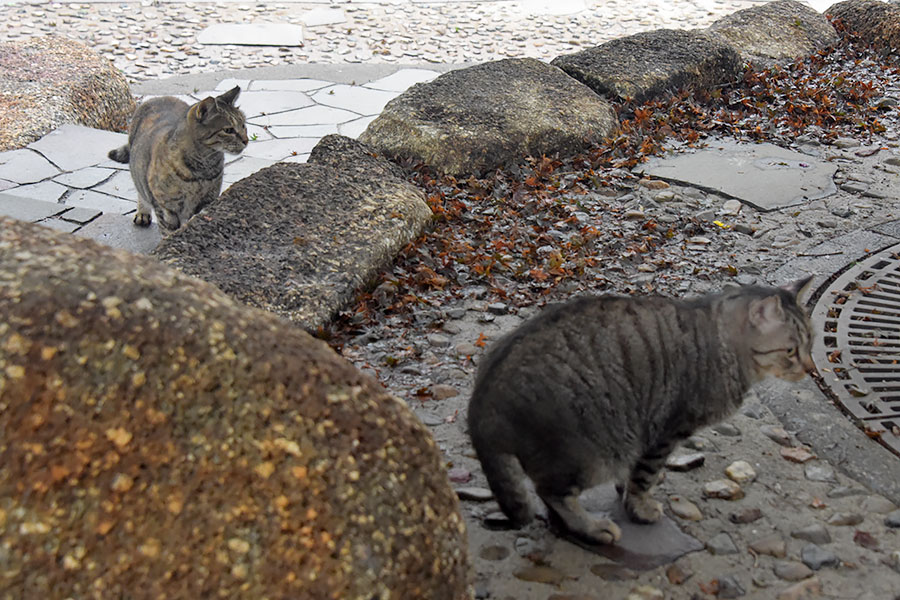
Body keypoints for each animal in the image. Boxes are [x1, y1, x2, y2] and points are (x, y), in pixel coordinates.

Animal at [109, 85, 250, 233]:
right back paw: (143, 212)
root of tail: (159, 97)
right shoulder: (166, 208)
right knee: (140, 191)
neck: (202, 169)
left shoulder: (207, 201)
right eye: (228, 130)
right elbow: (168, 232)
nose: (246, 140)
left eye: (244, 126)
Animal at [472, 278, 816, 548]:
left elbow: (633, 474)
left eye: (810, 343)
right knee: (552, 492)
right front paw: (640, 508)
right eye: (790, 351)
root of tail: (481, 405)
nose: (811, 369)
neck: (723, 346)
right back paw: (593, 528)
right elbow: (644, 477)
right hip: (588, 455)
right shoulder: (666, 430)